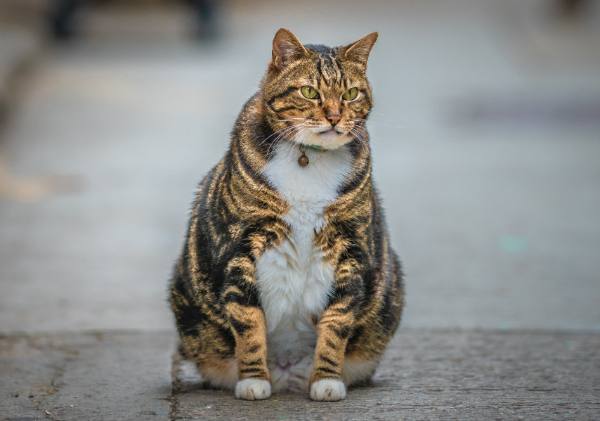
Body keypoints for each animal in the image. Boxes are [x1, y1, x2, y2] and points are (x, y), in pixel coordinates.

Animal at [169, 27, 404, 400]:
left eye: (350, 94)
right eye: (310, 92)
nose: (335, 117)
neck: (308, 157)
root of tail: (288, 374)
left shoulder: (351, 246)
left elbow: (338, 320)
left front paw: (326, 380)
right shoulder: (240, 243)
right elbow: (248, 320)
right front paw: (253, 380)